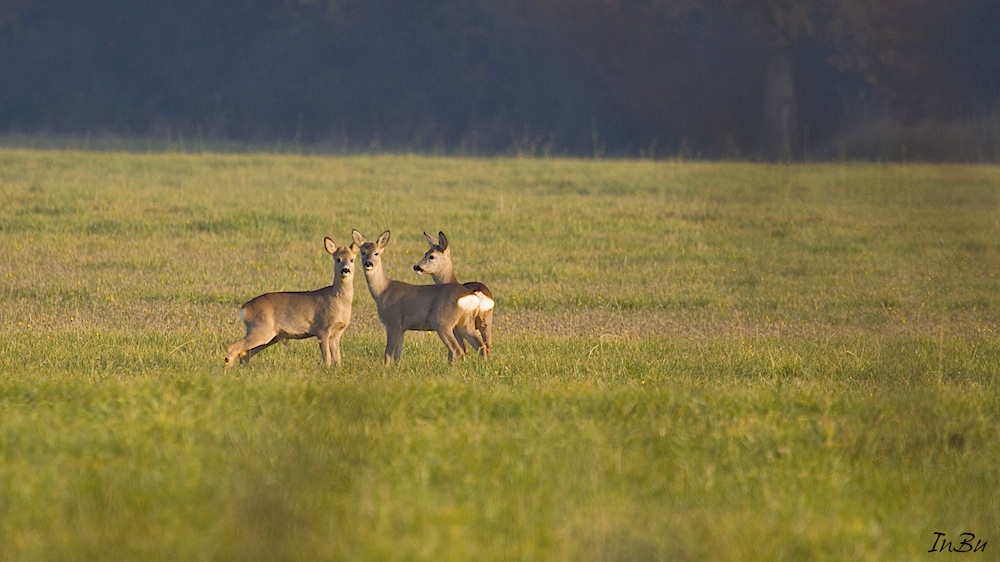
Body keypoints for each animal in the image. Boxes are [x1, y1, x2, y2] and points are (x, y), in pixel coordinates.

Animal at [225, 236, 358, 368]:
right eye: (338, 259)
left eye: (352, 260)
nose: (345, 270)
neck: (337, 300)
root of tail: (245, 308)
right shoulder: (323, 329)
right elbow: (327, 358)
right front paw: (327, 370)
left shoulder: (337, 333)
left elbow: (337, 359)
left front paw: (337, 370)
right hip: (260, 329)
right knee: (233, 348)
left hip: (268, 336)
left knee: (244, 354)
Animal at [350, 230, 494, 366]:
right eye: (362, 252)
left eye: (376, 253)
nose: (368, 264)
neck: (383, 291)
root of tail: (470, 295)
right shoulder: (402, 328)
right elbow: (397, 356)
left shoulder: (393, 322)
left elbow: (387, 355)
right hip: (465, 323)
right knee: (482, 347)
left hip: (442, 322)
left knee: (457, 350)